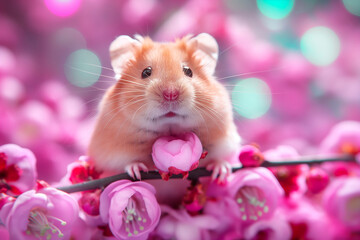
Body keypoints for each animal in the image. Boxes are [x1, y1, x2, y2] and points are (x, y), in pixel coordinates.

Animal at [88, 32, 242, 181]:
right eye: (146, 72)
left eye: (188, 71)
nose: (171, 94)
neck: (169, 129)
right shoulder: (112, 153)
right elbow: (126, 163)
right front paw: (136, 170)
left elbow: (218, 158)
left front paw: (222, 170)